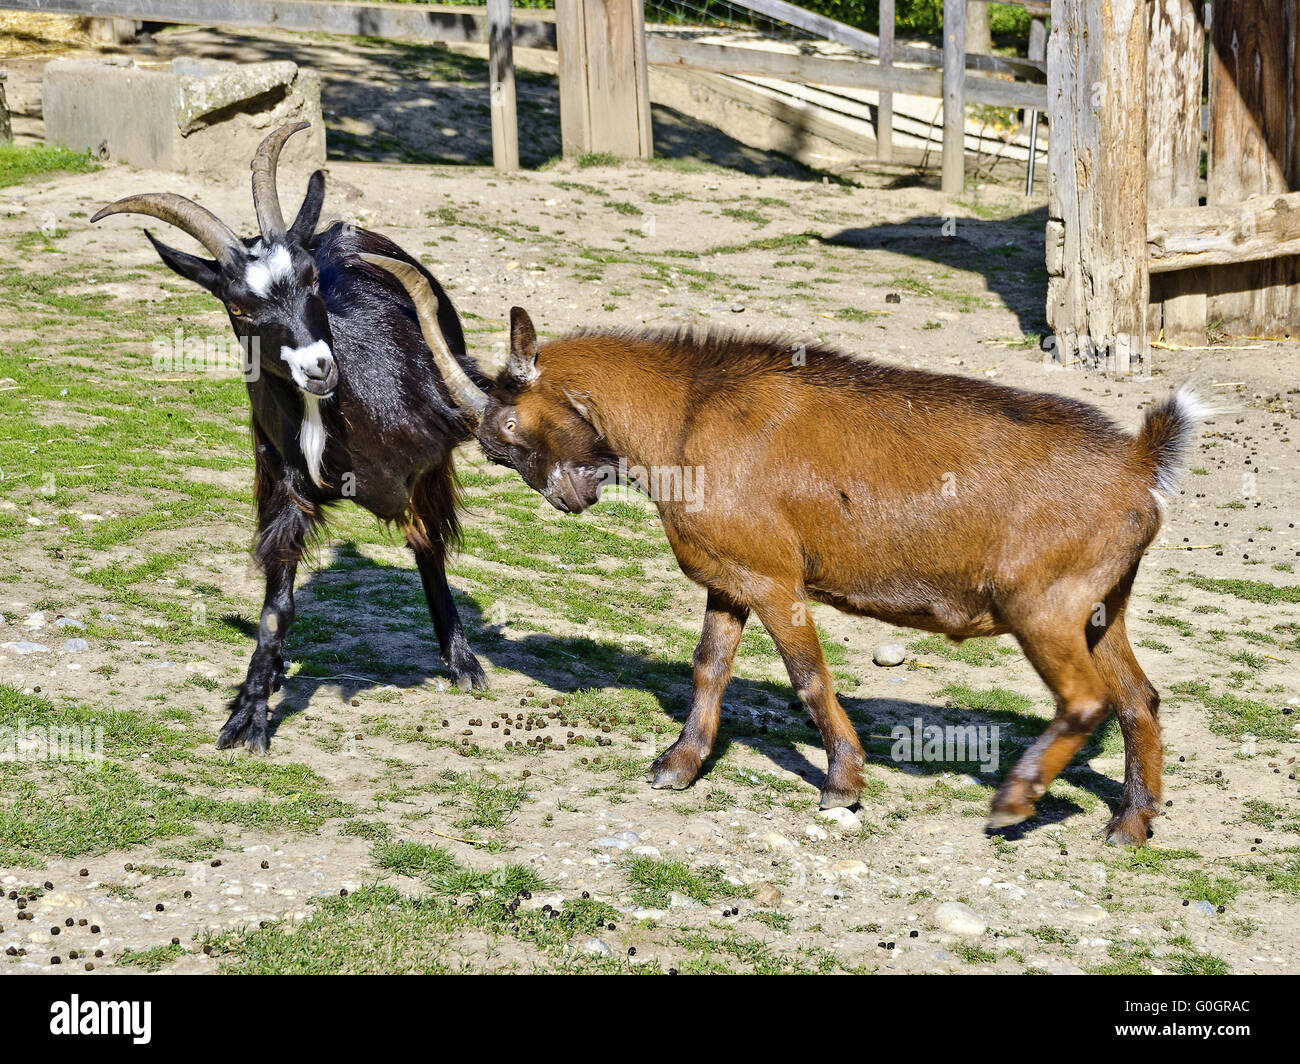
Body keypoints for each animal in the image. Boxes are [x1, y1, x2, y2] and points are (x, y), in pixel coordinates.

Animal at [92, 124, 488, 749]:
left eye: (311, 280)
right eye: (237, 307)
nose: (318, 367)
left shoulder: (430, 461)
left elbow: (429, 546)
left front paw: (463, 660)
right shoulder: (283, 481)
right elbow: (276, 606)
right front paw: (248, 714)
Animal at [366, 252, 1206, 842]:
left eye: (507, 430)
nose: (571, 499)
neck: (688, 414)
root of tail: (1139, 464)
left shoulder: (775, 579)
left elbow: (808, 677)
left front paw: (843, 782)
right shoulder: (727, 577)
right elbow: (708, 668)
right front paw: (676, 766)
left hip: (1043, 603)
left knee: (1087, 699)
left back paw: (1013, 801)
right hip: (1102, 606)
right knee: (1138, 698)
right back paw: (1130, 823)